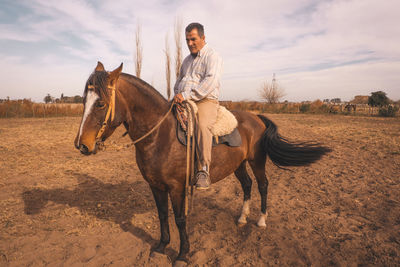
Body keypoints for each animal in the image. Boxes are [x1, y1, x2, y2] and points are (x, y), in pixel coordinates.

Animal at [75, 62, 332, 266]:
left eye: (100, 103)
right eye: (84, 101)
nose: (82, 145)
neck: (160, 135)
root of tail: (256, 117)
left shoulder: (176, 187)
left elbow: (180, 219)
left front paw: (182, 255)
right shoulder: (155, 185)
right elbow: (162, 215)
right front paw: (161, 246)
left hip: (257, 161)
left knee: (263, 185)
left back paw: (260, 220)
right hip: (238, 165)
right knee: (247, 185)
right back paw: (242, 218)